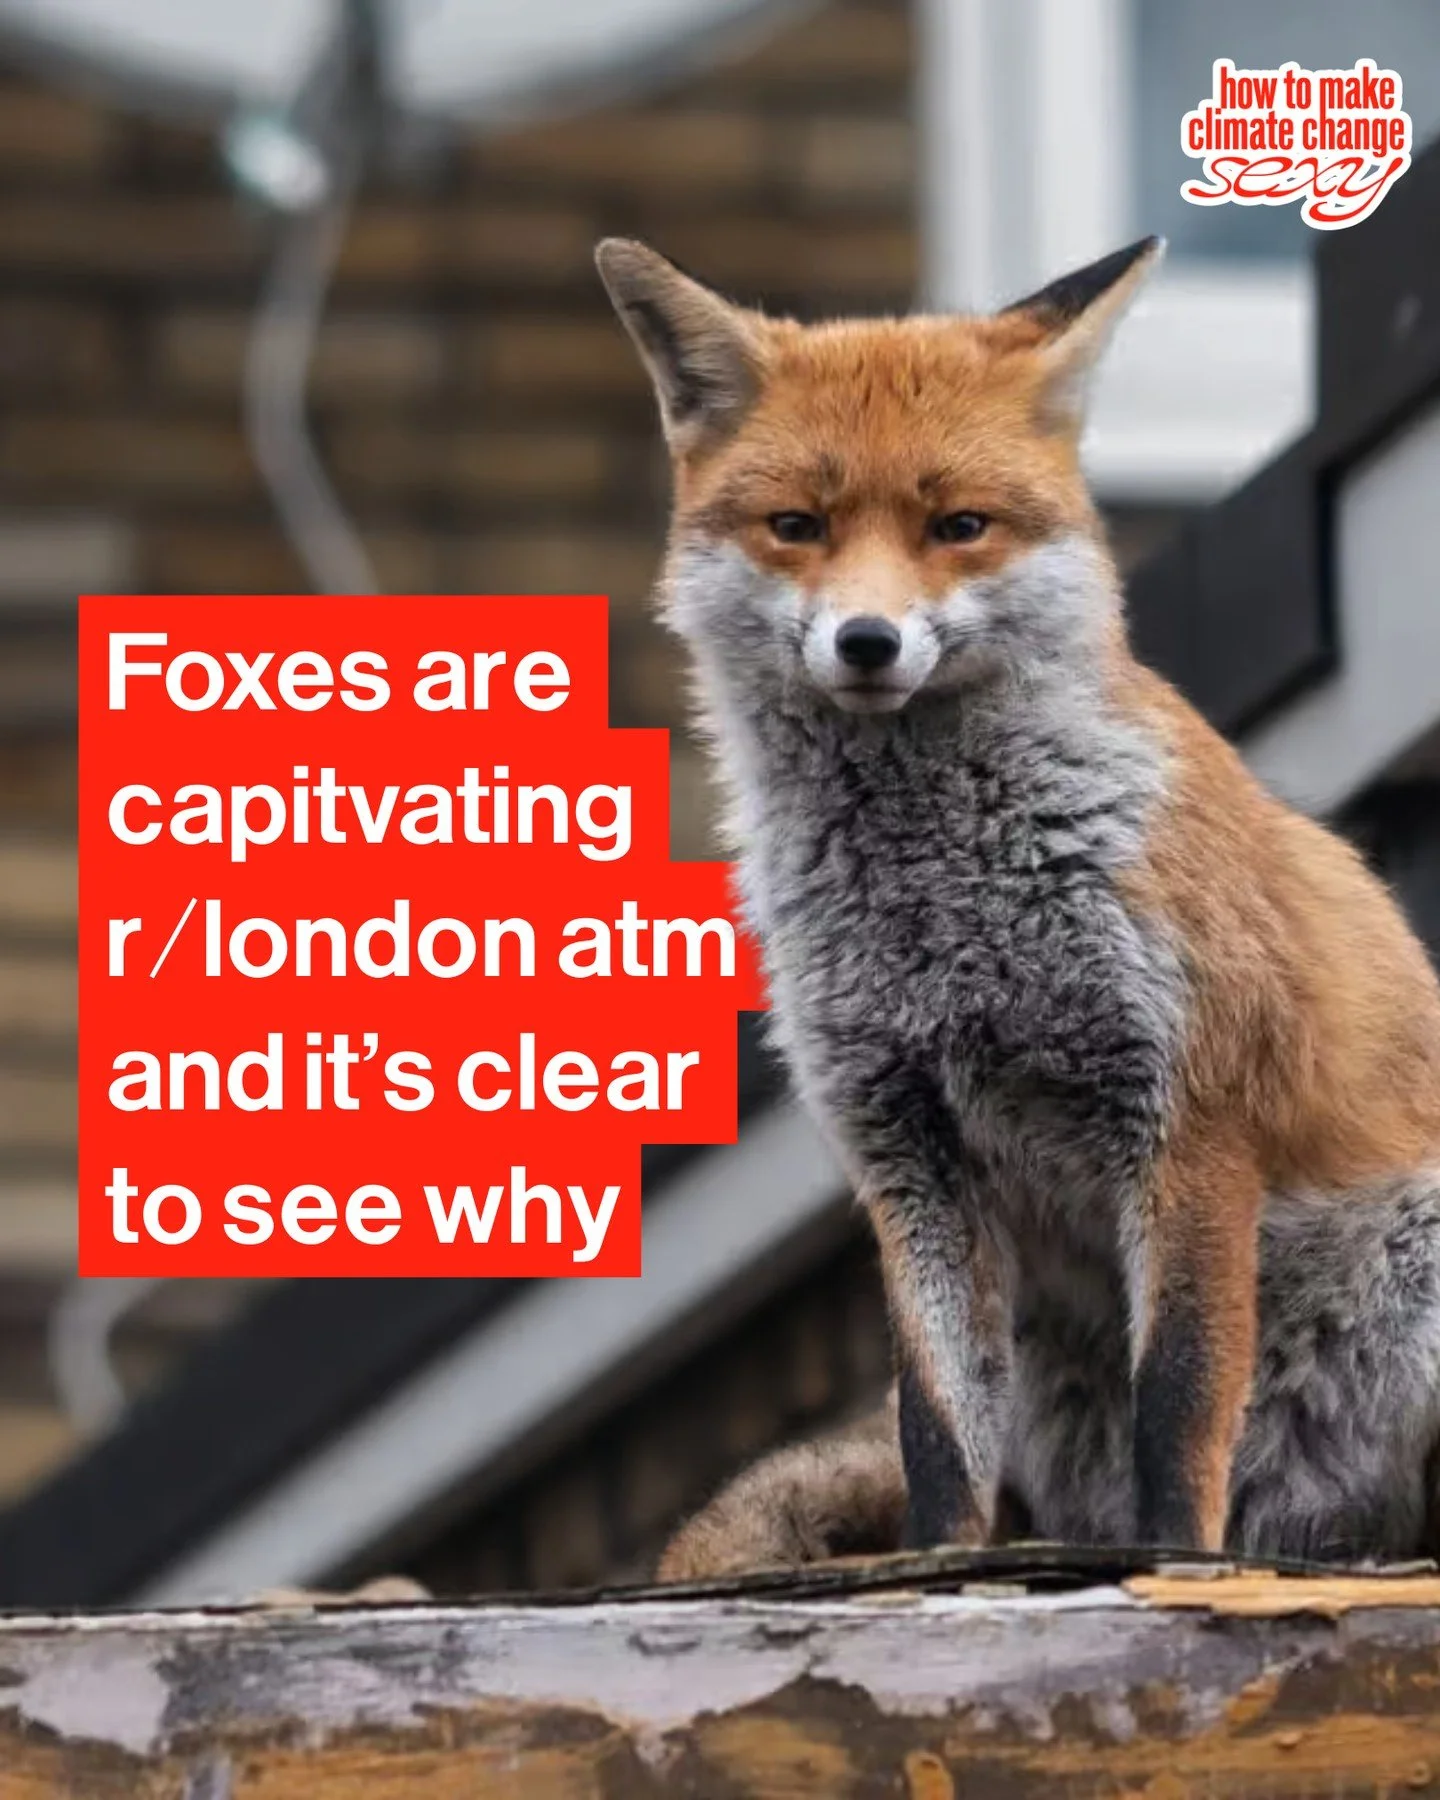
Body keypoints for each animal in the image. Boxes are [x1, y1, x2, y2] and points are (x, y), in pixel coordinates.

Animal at [595, 233, 1440, 1577]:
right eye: (798, 527)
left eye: (958, 527)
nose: (868, 641)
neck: (943, 921)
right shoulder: (907, 1156)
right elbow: (938, 1438)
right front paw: (935, 1573)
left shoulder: (1190, 1123)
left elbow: (1181, 1406)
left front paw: (1176, 1568)